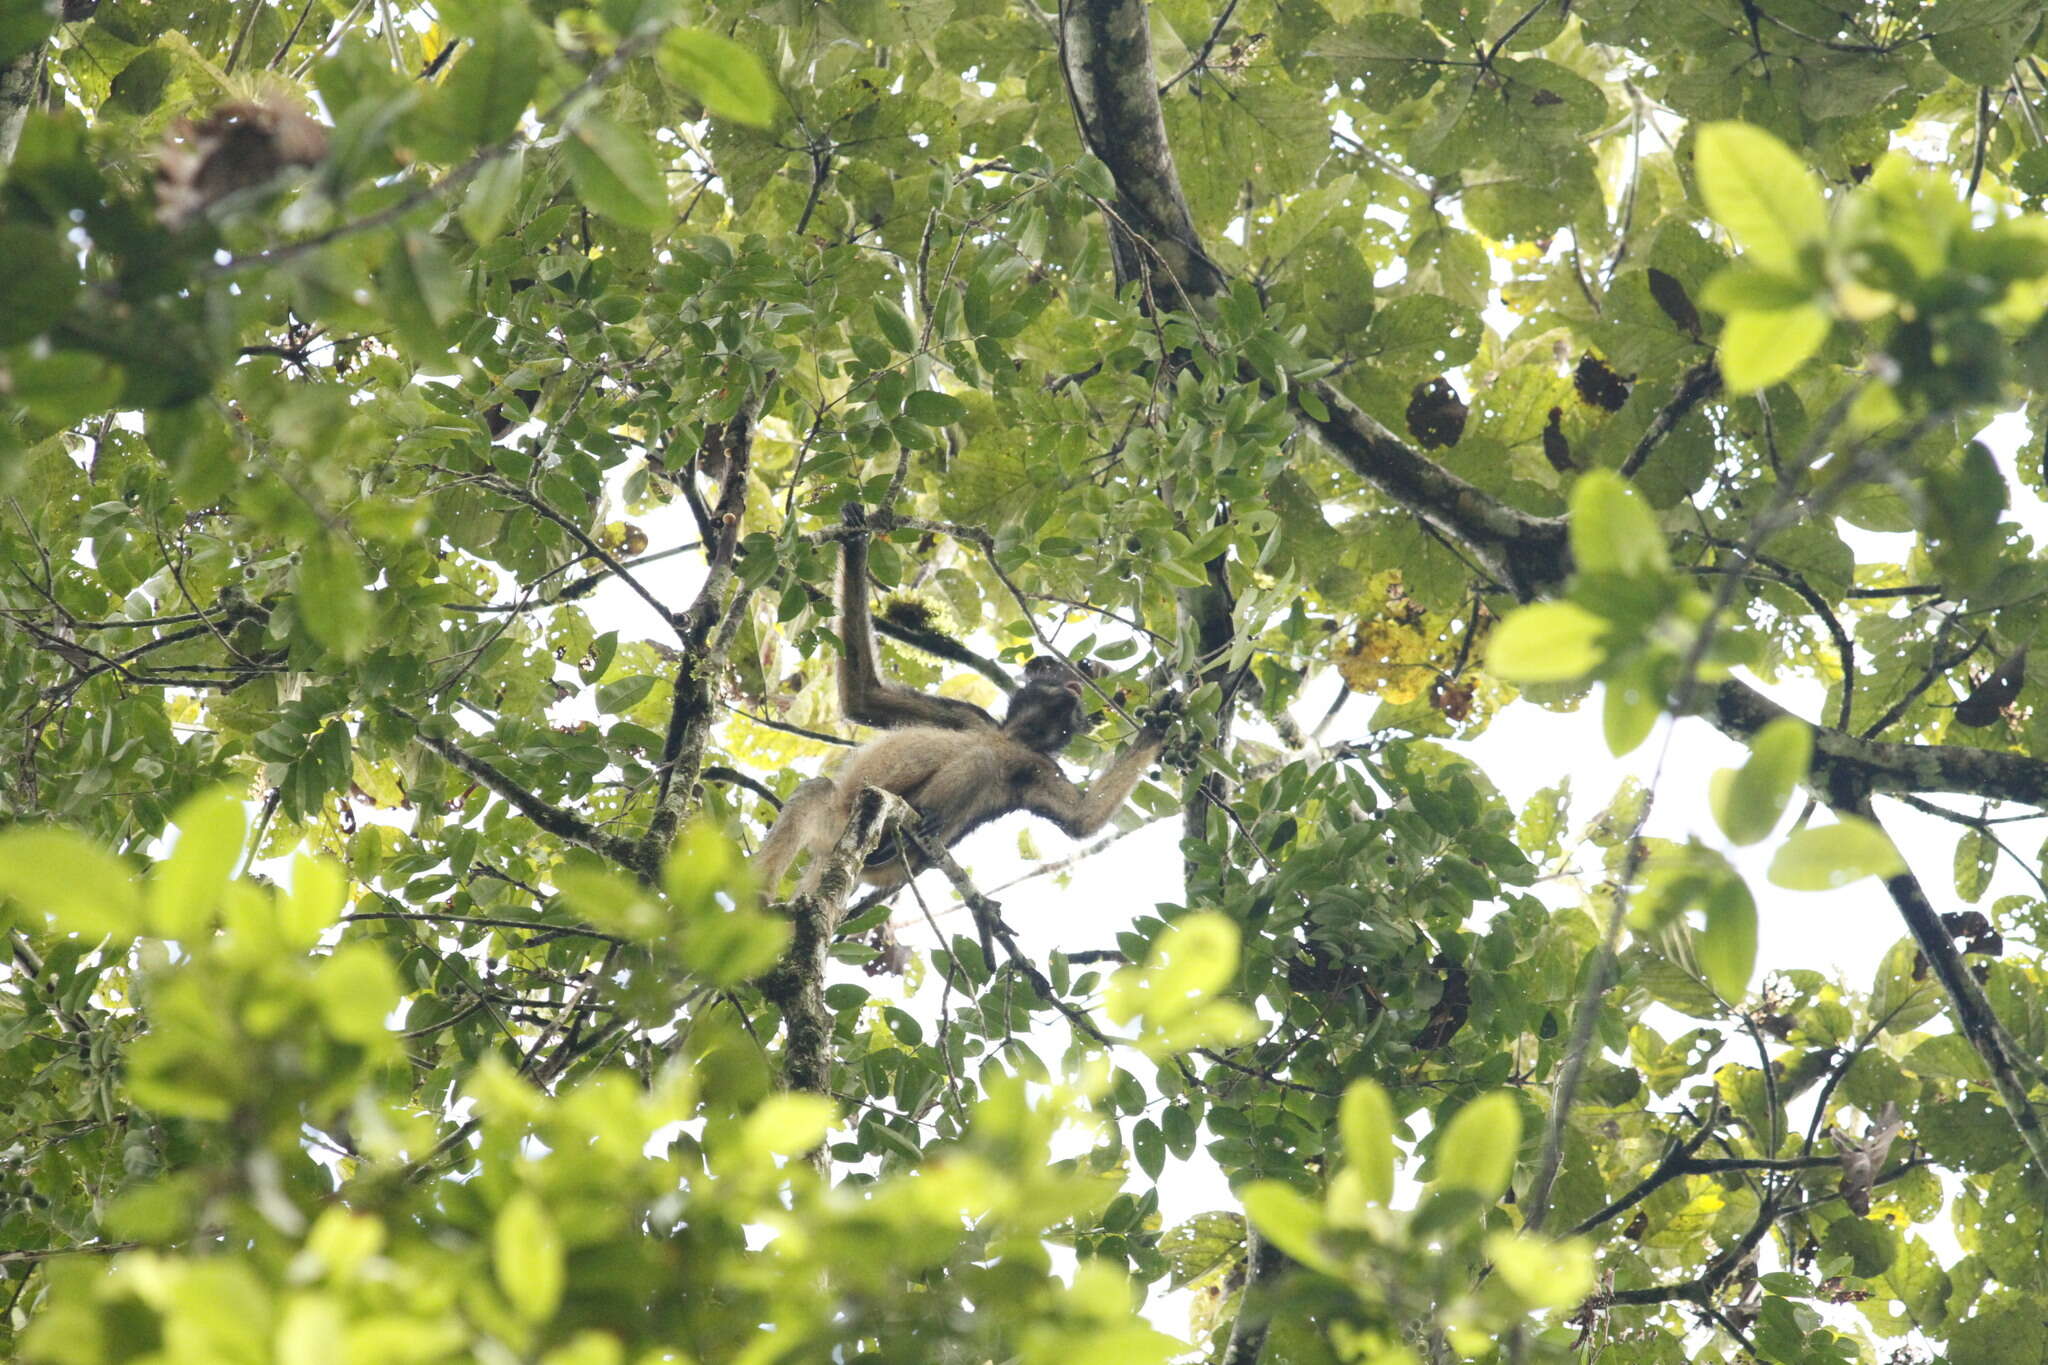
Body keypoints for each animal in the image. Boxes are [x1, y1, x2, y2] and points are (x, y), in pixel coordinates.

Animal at [753, 505, 1171, 896]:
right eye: (1061, 678)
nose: (1077, 688)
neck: (1013, 738)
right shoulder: (969, 716)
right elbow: (863, 697)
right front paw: (856, 543)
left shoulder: (1038, 765)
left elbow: (1083, 819)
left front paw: (1158, 728)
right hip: (837, 826)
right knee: (814, 793)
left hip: (885, 860)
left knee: (981, 762)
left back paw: (912, 829)